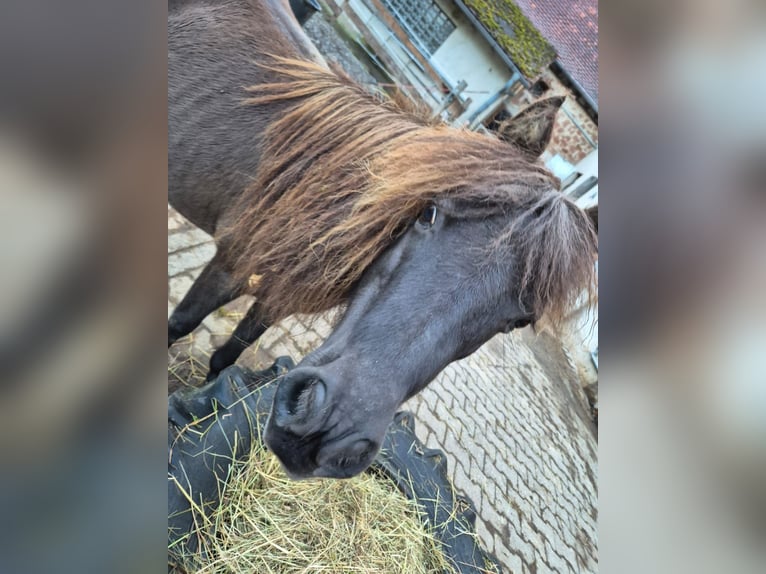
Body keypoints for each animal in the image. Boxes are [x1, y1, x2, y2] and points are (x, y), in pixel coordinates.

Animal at [168, 0, 597, 479]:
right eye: (428, 213)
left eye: (519, 321)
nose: (332, 430)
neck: (326, 193)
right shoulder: (231, 264)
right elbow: (179, 325)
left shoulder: (279, 296)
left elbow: (229, 355)